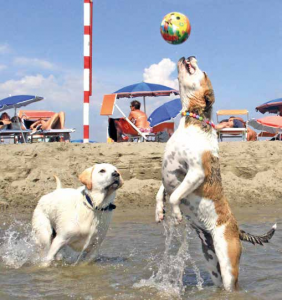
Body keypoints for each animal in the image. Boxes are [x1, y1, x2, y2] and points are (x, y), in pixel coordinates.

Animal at [155, 56, 276, 290]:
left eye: (204, 73)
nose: (189, 56)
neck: (192, 122)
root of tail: (236, 229)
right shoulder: (169, 172)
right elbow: (160, 192)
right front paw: (159, 211)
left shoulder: (196, 173)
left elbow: (174, 196)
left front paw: (176, 214)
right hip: (212, 264)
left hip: (228, 265)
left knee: (232, 285)